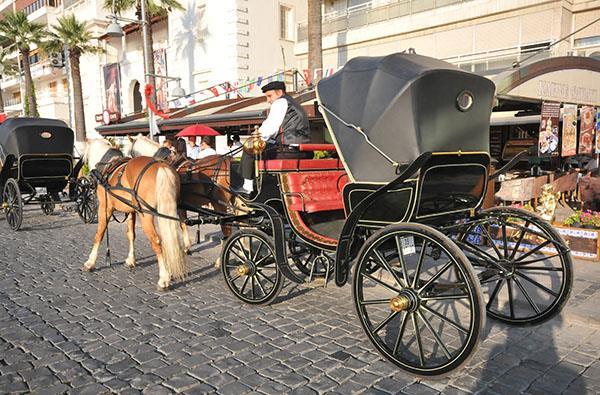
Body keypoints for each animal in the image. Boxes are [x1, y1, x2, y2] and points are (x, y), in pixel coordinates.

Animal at [81, 140, 186, 290]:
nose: (88, 178)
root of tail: (160, 166)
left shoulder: (104, 208)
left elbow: (99, 234)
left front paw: (90, 262)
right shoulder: (132, 211)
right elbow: (131, 234)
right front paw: (131, 260)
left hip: (146, 217)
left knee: (157, 241)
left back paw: (164, 278)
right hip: (165, 212)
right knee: (170, 238)